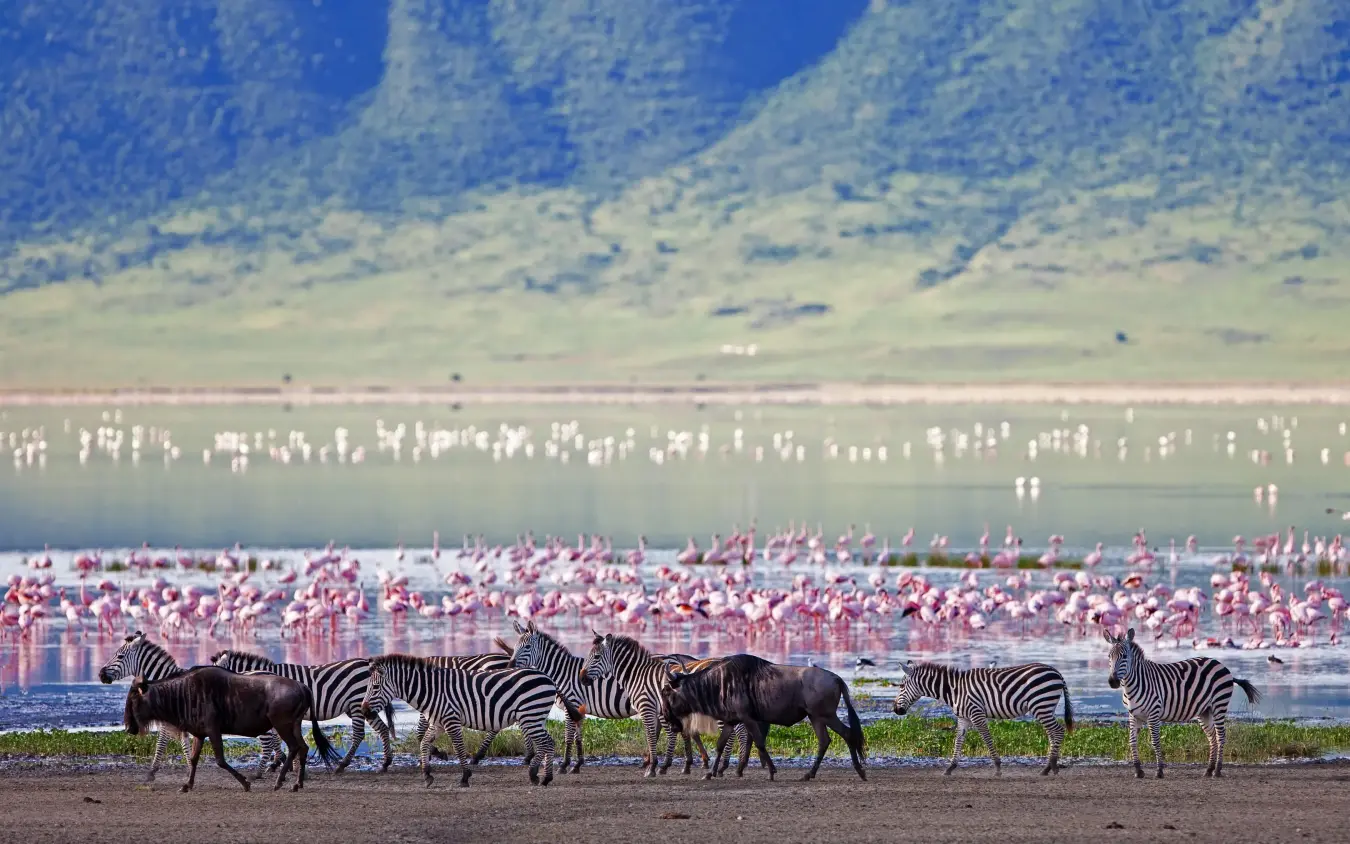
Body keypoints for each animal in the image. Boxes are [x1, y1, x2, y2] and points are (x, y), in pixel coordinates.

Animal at [98, 631, 280, 781]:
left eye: (120, 656)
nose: (100, 675)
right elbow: (184, 744)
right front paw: (189, 769)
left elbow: (162, 743)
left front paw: (152, 773)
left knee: (268, 742)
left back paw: (258, 774)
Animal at [210, 650, 396, 773]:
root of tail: (367, 663)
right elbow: (277, 739)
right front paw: (282, 761)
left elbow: (275, 738)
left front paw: (279, 762)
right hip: (363, 706)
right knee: (382, 729)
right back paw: (386, 762)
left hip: (357, 704)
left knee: (358, 734)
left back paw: (342, 764)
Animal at [360, 653, 576, 787]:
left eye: (375, 688)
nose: (364, 711)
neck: (432, 690)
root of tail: (548, 677)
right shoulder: (438, 723)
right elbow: (423, 743)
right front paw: (427, 774)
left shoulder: (451, 720)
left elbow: (458, 748)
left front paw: (464, 776)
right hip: (534, 717)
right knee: (547, 743)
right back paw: (539, 775)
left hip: (530, 716)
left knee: (547, 742)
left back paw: (542, 776)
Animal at [892, 659, 1074, 776]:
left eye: (901, 686)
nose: (895, 710)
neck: (954, 690)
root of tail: (1056, 672)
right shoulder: (963, 718)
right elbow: (958, 741)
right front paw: (950, 768)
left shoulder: (976, 714)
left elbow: (987, 738)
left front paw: (998, 768)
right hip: (1045, 707)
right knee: (1052, 733)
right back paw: (1050, 767)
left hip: (1041, 705)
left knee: (1057, 731)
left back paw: (1049, 768)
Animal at [1104, 627, 1261, 778]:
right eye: (1109, 657)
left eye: (1124, 656)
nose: (1112, 682)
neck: (1133, 685)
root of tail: (1220, 664)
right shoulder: (1133, 715)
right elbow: (1132, 741)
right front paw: (1138, 771)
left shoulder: (1154, 714)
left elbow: (1155, 741)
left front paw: (1159, 771)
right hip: (1204, 711)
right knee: (1212, 737)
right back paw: (1209, 770)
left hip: (1219, 705)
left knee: (1220, 736)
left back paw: (1217, 770)